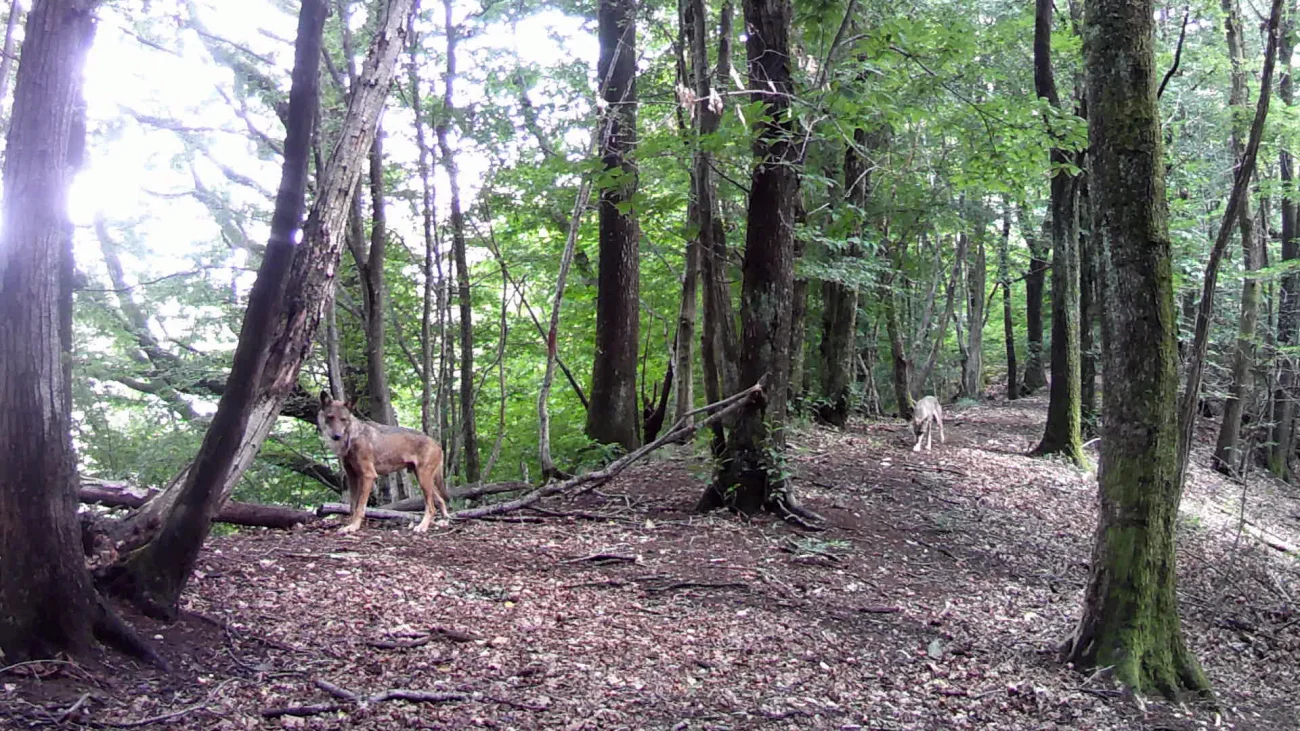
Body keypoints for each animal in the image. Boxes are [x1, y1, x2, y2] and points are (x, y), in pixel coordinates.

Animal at [317, 390, 449, 533]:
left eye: (343, 419)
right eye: (330, 417)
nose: (337, 436)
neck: (353, 437)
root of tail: (436, 443)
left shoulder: (368, 476)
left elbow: (360, 507)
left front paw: (353, 527)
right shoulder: (352, 477)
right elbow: (352, 506)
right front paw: (349, 525)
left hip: (423, 479)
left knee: (431, 507)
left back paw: (422, 526)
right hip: (423, 479)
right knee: (441, 500)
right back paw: (443, 522)